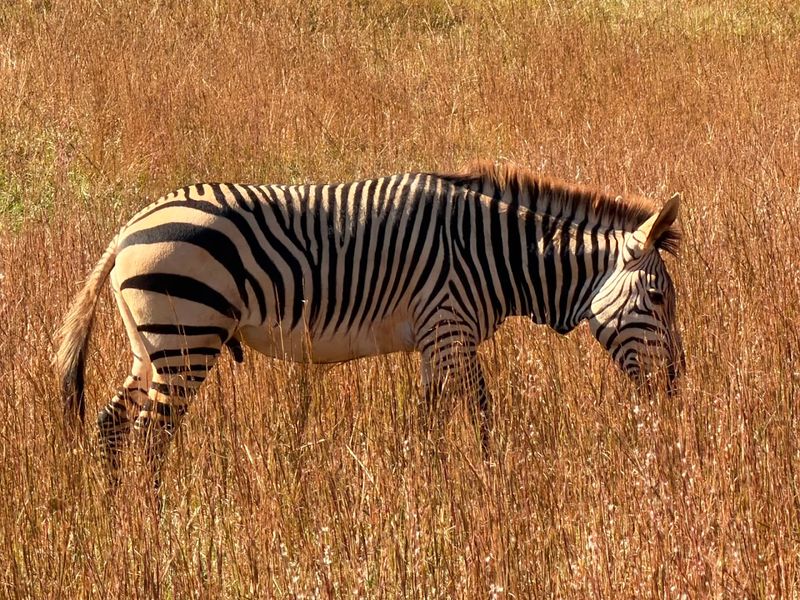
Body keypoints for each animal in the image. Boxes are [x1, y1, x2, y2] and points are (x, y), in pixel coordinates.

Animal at [55, 161, 683, 488]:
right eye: (658, 297)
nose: (676, 386)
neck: (497, 255)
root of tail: (130, 226)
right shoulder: (449, 329)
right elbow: (472, 414)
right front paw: (477, 481)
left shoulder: (440, 340)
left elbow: (442, 418)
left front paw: (438, 478)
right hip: (186, 341)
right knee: (150, 437)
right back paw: (154, 519)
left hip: (151, 346)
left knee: (112, 426)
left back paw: (117, 515)